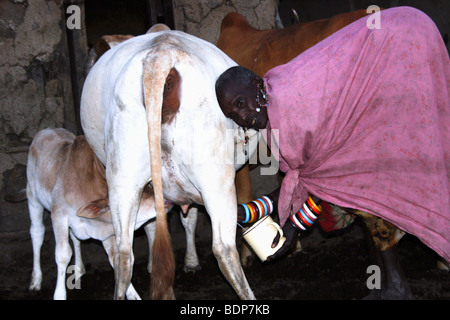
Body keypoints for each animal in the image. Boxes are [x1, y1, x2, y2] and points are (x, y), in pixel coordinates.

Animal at [81, 30, 256, 300]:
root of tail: (159, 58)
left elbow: (157, 224)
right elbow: (187, 218)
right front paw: (191, 262)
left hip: (123, 176)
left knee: (123, 253)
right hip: (214, 177)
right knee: (224, 249)